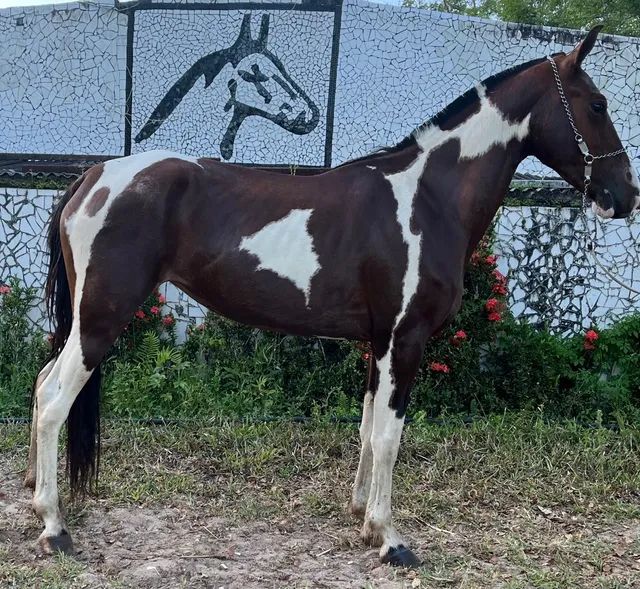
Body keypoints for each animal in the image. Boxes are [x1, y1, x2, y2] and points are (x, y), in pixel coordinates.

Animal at [25, 27, 640, 564]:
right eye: (598, 104)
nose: (624, 196)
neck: (428, 198)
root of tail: (93, 177)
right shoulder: (404, 339)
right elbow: (391, 434)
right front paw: (390, 539)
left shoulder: (377, 341)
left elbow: (368, 427)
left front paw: (362, 518)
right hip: (101, 317)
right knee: (55, 399)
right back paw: (53, 527)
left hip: (84, 318)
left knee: (40, 384)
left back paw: (34, 493)